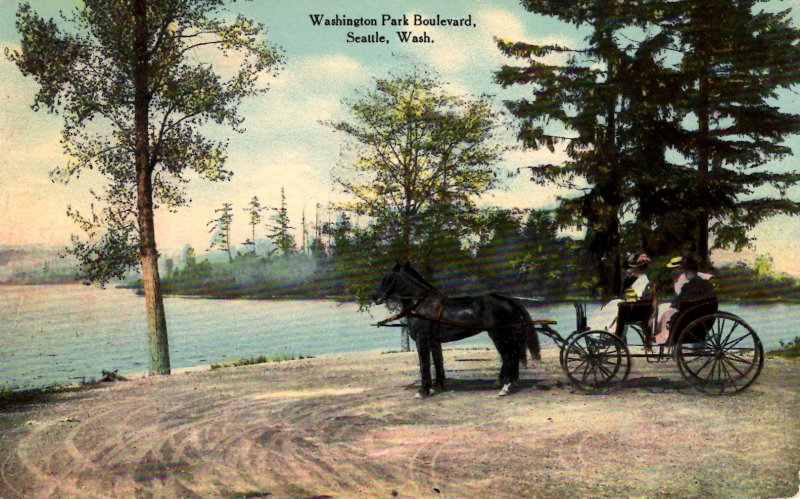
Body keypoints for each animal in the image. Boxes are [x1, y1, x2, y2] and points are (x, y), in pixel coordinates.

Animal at [374, 262, 536, 398]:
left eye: (388, 279)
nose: (375, 298)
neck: (421, 304)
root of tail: (507, 300)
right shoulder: (434, 341)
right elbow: (438, 361)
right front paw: (437, 386)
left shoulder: (422, 339)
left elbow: (424, 364)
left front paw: (423, 391)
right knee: (512, 355)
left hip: (499, 335)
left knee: (509, 356)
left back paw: (505, 387)